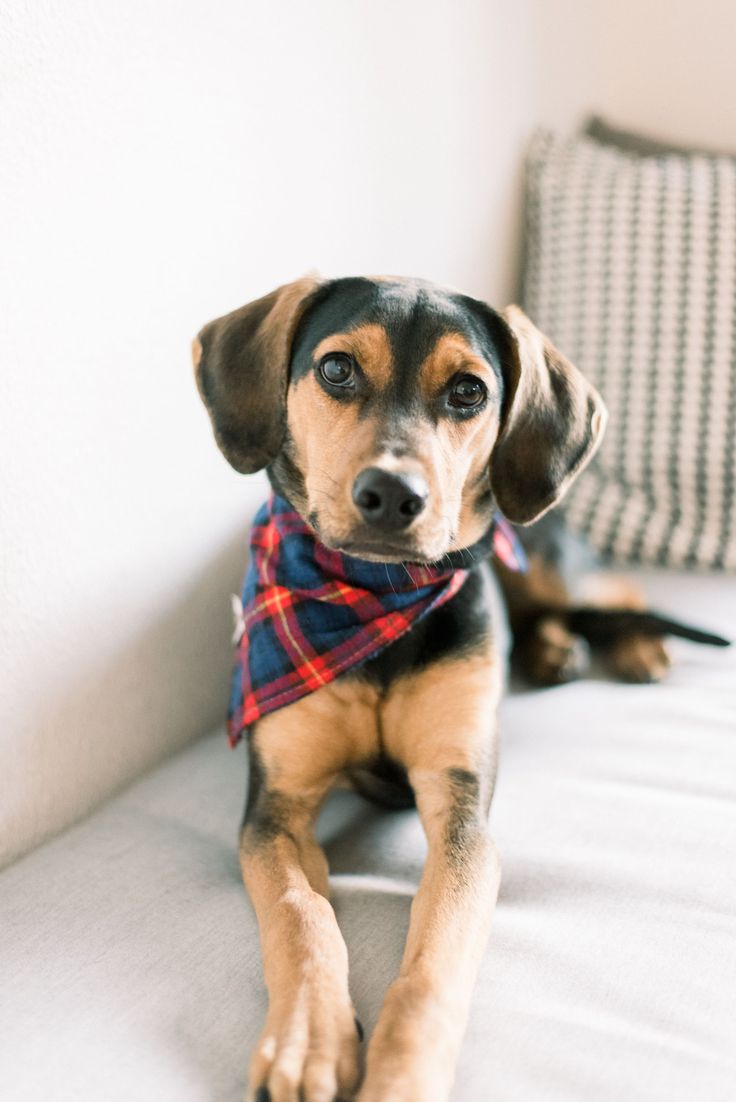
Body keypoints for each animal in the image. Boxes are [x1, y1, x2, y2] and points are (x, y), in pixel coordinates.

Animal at [191, 277, 722, 1102]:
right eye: (337, 369)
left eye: (469, 390)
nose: (390, 494)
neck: (374, 598)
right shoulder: (274, 808)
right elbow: (300, 914)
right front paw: (306, 1040)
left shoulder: (461, 806)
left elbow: (434, 957)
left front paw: (402, 1074)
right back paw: (555, 650)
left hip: (544, 556)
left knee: (614, 591)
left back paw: (635, 646)